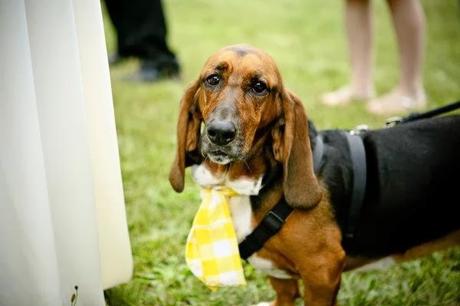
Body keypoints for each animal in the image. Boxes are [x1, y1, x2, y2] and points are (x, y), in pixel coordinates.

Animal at [169, 44, 460, 304]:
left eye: (259, 86)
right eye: (212, 79)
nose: (219, 133)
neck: (240, 184)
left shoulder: (322, 272)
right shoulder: (280, 272)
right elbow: (285, 294)